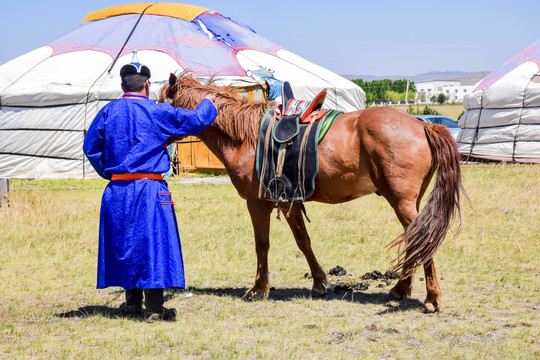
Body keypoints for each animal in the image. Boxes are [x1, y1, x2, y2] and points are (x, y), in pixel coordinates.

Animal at [161, 74, 464, 312]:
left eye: (160, 101)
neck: (246, 137)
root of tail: (424, 124)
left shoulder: (257, 203)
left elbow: (262, 245)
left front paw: (259, 289)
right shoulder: (289, 202)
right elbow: (303, 241)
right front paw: (319, 283)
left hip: (401, 201)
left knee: (422, 240)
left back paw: (431, 298)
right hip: (409, 202)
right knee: (416, 241)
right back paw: (401, 289)